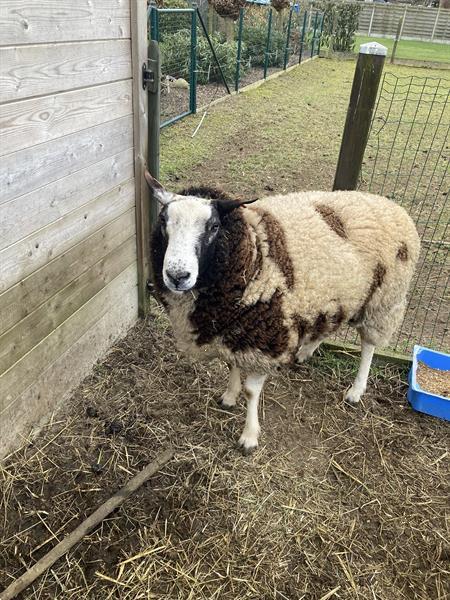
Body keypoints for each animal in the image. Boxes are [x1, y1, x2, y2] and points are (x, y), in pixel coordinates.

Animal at [145, 171, 422, 452]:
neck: (255, 248)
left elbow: (251, 391)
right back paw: (307, 351)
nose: (177, 276)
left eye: (213, 227)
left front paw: (249, 436)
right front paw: (229, 397)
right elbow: (233, 366)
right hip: (336, 295)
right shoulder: (235, 330)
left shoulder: (264, 338)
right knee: (330, 324)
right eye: (163, 221)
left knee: (368, 345)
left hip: (384, 299)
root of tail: (391, 205)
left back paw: (356, 390)